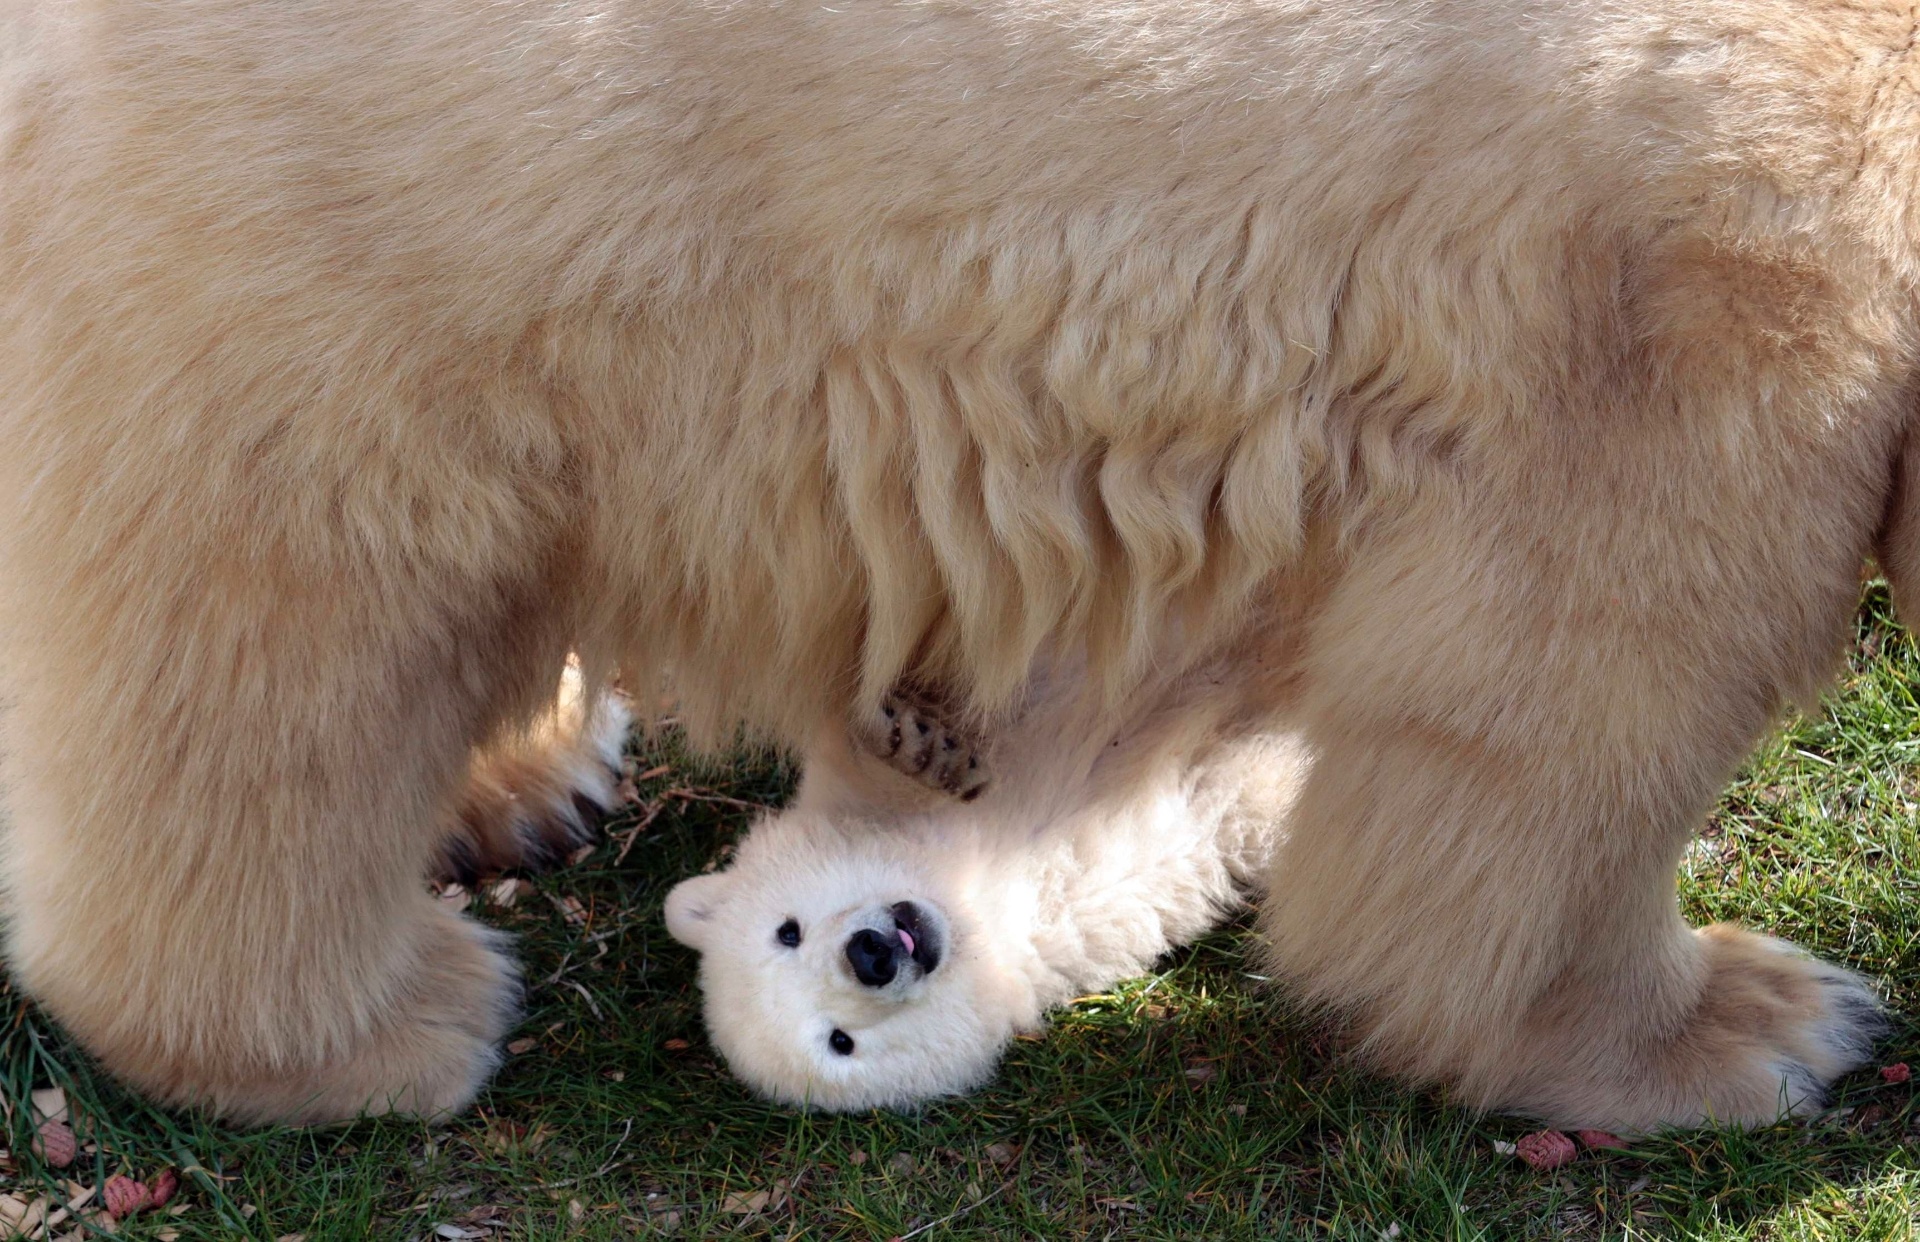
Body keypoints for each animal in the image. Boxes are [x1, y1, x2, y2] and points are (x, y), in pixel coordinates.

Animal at [3, 0, 1920, 1128]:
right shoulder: (1714, 297)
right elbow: (1552, 716)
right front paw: (1751, 1026)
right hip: (373, 228)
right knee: (279, 632)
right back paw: (378, 1022)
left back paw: (528, 778)